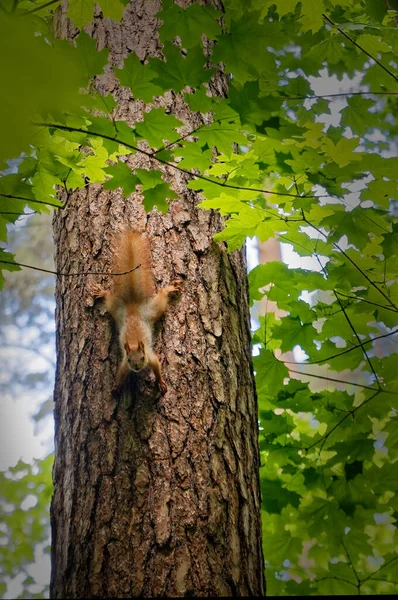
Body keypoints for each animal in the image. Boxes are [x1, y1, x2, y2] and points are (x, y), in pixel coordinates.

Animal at [88, 230, 182, 394]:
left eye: (142, 358)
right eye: (130, 360)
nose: (137, 368)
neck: (133, 344)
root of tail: (132, 308)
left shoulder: (150, 357)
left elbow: (157, 367)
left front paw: (161, 382)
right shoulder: (125, 364)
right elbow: (120, 374)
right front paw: (116, 387)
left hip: (153, 309)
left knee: (162, 294)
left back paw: (169, 288)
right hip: (116, 308)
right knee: (108, 297)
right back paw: (101, 292)